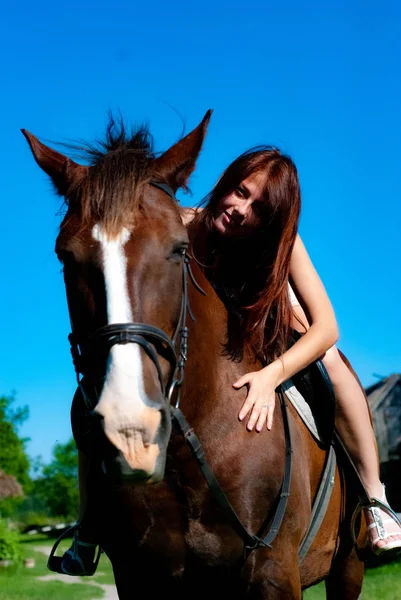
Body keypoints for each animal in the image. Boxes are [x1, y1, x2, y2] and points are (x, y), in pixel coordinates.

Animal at [23, 113, 364, 600]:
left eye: (179, 248)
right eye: (64, 256)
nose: (131, 430)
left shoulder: (275, 572)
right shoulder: (139, 577)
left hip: (348, 567)